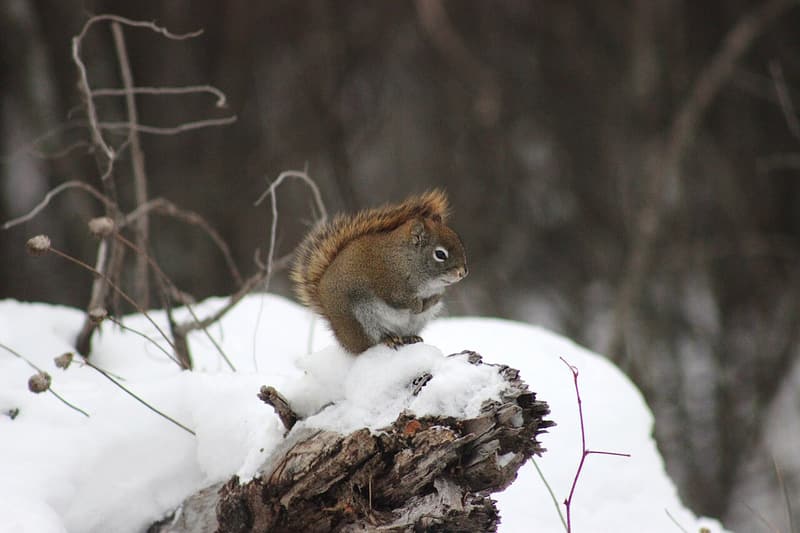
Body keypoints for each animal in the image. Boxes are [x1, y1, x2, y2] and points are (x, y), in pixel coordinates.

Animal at [291, 189, 468, 354]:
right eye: (440, 254)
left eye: (459, 241)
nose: (463, 273)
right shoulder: (388, 285)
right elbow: (400, 299)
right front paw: (417, 305)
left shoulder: (436, 292)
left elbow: (436, 298)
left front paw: (428, 302)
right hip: (361, 320)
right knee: (371, 343)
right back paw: (388, 339)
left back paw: (410, 337)